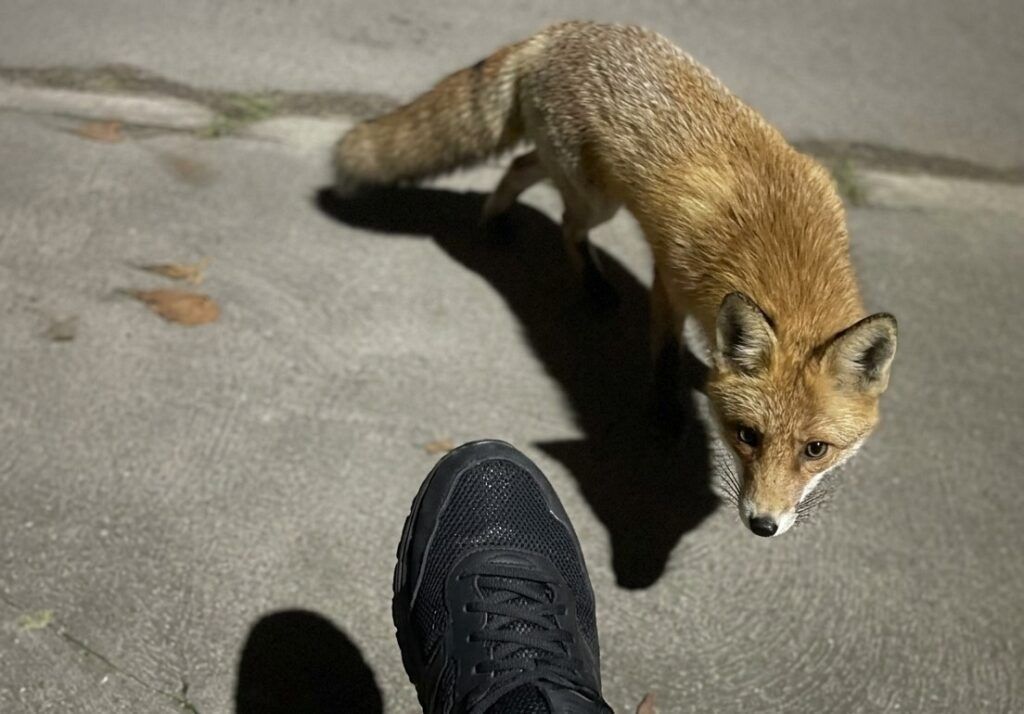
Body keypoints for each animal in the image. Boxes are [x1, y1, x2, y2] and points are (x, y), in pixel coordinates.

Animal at [332, 21, 898, 537]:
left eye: (816, 449)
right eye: (747, 435)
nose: (763, 524)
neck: (782, 252)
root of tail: (553, 33)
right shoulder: (669, 278)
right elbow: (665, 354)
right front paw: (666, 414)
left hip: (577, 177)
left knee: (519, 165)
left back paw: (495, 219)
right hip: (596, 198)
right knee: (563, 218)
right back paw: (589, 284)